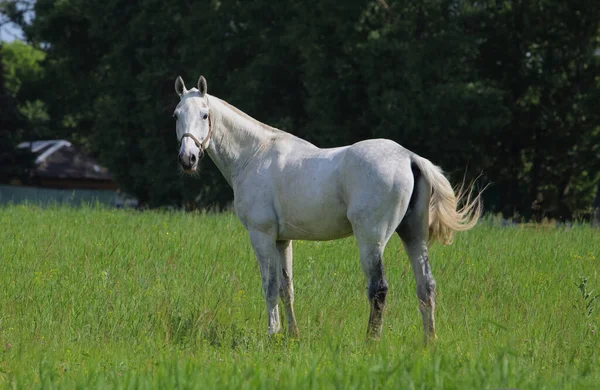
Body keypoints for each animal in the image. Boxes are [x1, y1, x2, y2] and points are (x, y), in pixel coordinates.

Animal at [172, 75, 478, 342]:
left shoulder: (262, 235)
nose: (188, 159)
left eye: (204, 114)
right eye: (176, 115)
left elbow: (269, 287)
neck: (255, 154)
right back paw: (429, 341)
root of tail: (409, 157)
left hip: (371, 239)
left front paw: (273, 334)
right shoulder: (283, 241)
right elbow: (286, 288)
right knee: (426, 286)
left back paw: (371, 341)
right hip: (413, 236)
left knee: (379, 289)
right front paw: (292, 335)